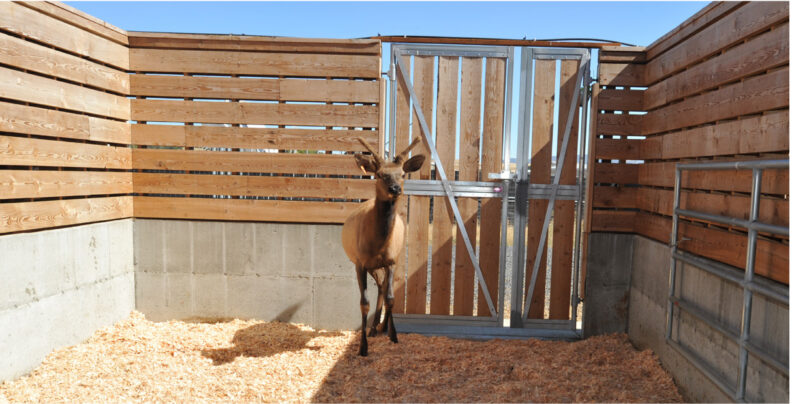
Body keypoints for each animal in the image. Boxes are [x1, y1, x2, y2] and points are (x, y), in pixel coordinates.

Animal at [341, 136, 425, 356]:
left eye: (402, 174)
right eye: (379, 174)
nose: (395, 189)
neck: (377, 245)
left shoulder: (392, 261)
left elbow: (391, 297)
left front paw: (393, 335)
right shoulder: (360, 263)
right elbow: (364, 303)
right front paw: (362, 347)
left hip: (389, 263)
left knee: (384, 287)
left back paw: (381, 327)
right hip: (370, 266)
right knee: (379, 286)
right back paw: (372, 329)